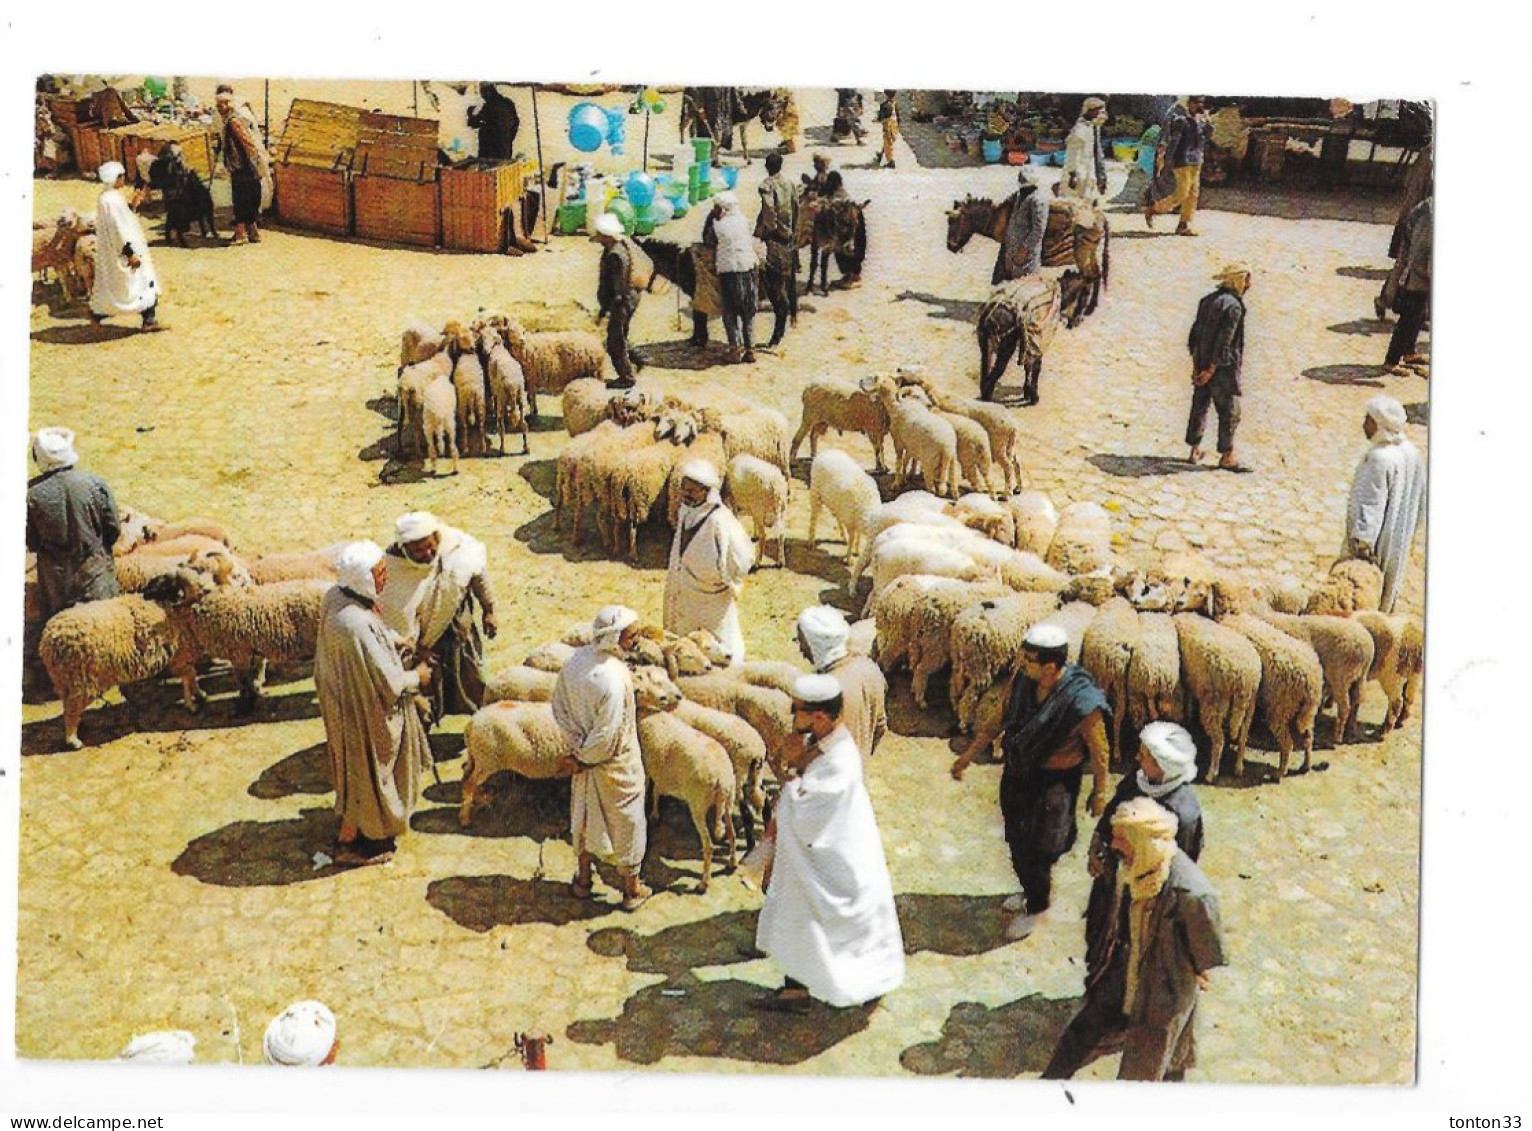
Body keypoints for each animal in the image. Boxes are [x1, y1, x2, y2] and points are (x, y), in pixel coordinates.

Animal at [943, 193, 1115, 326]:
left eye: (952, 221)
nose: (950, 247)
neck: (999, 217)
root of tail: (1098, 215)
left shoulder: (1007, 251)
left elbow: (998, 277)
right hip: (1089, 254)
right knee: (1096, 275)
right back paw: (1089, 309)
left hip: (1082, 253)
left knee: (1090, 277)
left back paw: (1077, 316)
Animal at [949, 585, 1060, 726]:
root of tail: (965, 629)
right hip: (980, 668)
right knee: (968, 699)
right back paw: (965, 722)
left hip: (958, 663)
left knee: (954, 688)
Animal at [1078, 594, 1139, 763]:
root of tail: (1110, 656)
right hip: (1117, 682)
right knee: (1118, 714)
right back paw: (1116, 751)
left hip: (1109, 680)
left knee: (1114, 714)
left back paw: (1115, 751)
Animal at [1170, 613, 1256, 778]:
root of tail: (1244, 675)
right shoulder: (1191, 680)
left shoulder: (1187, 678)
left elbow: (1187, 697)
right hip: (1249, 706)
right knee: (1243, 735)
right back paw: (1239, 766)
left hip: (1214, 703)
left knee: (1219, 740)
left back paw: (1212, 772)